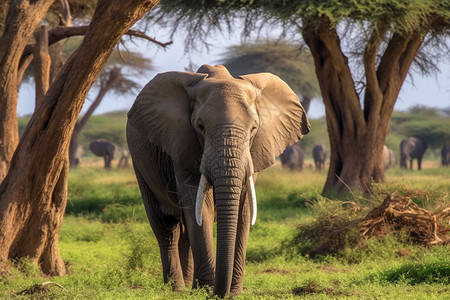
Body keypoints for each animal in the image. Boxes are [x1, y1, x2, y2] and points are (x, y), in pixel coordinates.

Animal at [125, 64, 312, 296]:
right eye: (200, 126)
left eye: (254, 128)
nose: (219, 292)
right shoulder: (182, 143)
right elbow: (200, 206)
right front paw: (206, 290)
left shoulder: (252, 153)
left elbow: (243, 209)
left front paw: (233, 293)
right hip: (140, 164)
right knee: (166, 228)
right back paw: (176, 288)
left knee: (185, 231)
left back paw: (187, 286)